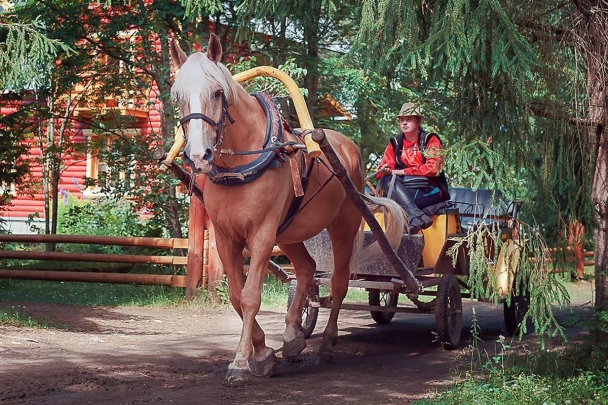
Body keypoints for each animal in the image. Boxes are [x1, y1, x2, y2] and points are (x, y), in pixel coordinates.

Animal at [171, 34, 408, 386]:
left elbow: (250, 296)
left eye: (217, 92)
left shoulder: (262, 234)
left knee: (338, 283)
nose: (199, 155)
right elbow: (236, 295)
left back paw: (326, 345)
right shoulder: (226, 237)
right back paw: (294, 337)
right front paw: (264, 354)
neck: (240, 166)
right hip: (290, 234)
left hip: (342, 226)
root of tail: (348, 148)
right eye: (178, 96)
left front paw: (241, 363)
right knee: (308, 268)